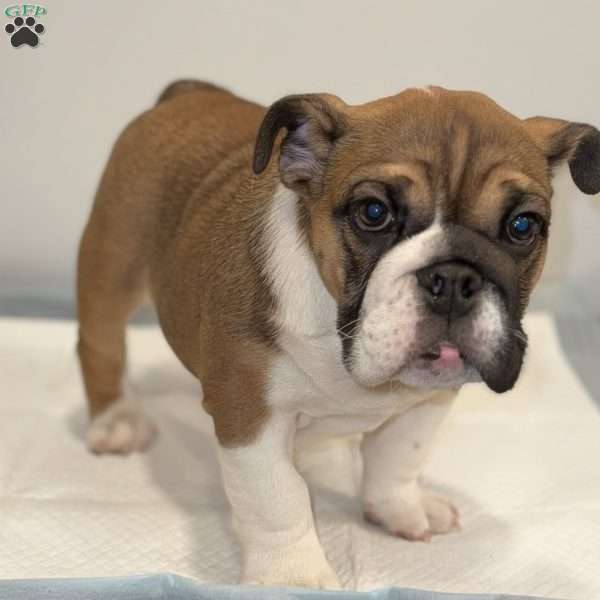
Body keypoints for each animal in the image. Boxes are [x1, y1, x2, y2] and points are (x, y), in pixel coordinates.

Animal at [78, 81, 600, 592]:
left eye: (522, 226)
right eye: (373, 212)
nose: (454, 278)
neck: (341, 338)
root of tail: (185, 93)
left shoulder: (429, 398)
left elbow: (399, 454)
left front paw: (399, 506)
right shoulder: (248, 413)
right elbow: (275, 496)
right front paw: (293, 576)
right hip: (114, 260)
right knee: (100, 343)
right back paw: (117, 419)